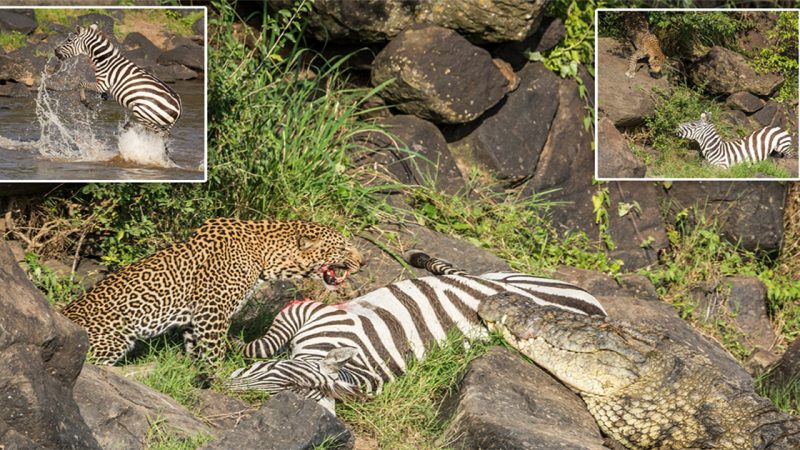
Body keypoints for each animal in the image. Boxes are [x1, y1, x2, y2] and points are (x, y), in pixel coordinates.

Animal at [54, 24, 183, 136]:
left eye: (69, 40)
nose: (55, 51)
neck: (105, 60)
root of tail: (179, 109)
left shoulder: (103, 83)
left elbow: (81, 84)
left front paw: (86, 103)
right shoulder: (101, 85)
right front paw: (103, 96)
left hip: (143, 112)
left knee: (158, 132)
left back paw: (129, 126)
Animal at [61, 216, 360, 368]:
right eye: (343, 248)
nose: (363, 261)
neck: (266, 255)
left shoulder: (197, 317)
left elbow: (196, 348)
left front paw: (193, 373)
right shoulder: (213, 312)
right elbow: (215, 352)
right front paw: (218, 381)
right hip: (115, 340)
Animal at [227, 251, 608, 414]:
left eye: (288, 391)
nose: (225, 387)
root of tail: (602, 314)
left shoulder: (310, 314)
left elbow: (258, 348)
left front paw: (229, 341)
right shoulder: (310, 313)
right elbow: (263, 345)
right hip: (509, 278)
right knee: (462, 272)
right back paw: (420, 258)